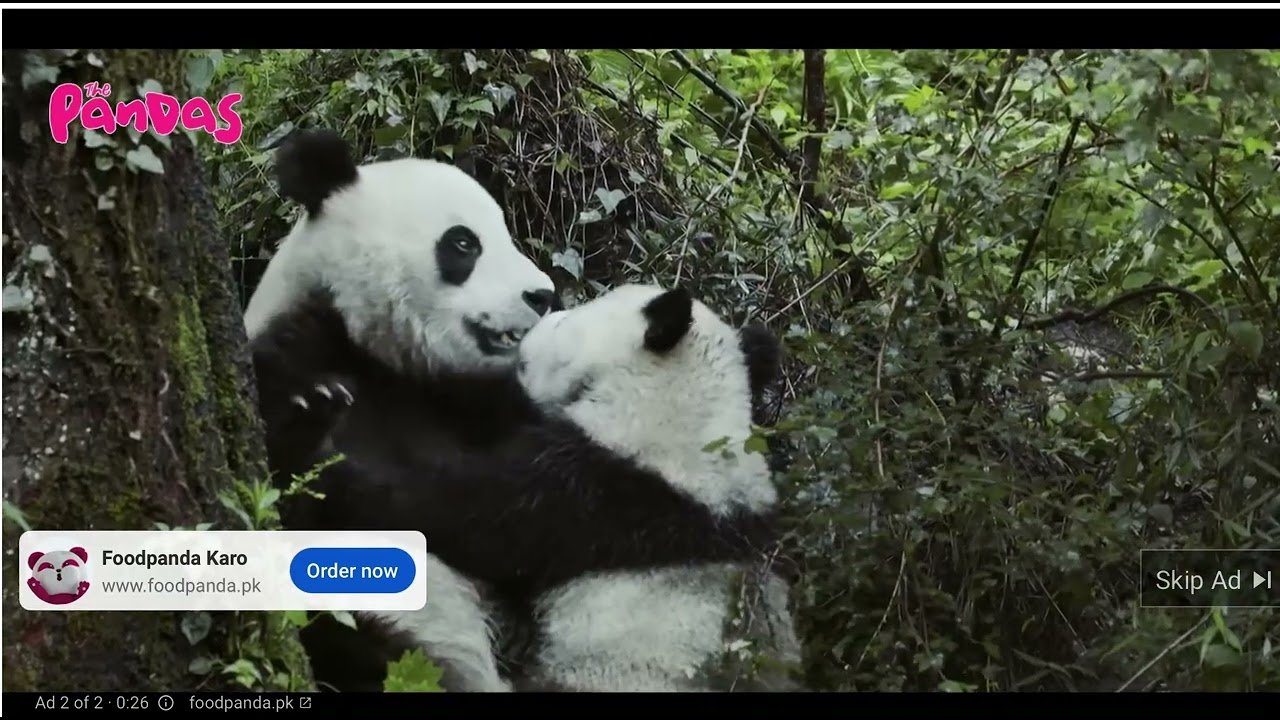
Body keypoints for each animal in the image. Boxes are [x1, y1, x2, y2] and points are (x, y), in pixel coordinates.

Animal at [244, 130, 784, 692]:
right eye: (464, 243)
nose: (542, 295)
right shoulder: (301, 348)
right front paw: (309, 427)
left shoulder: (564, 483)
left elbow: (455, 506)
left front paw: (330, 464)